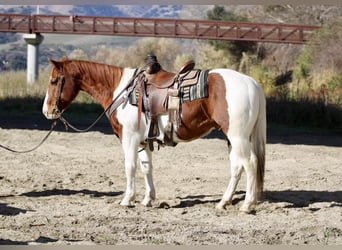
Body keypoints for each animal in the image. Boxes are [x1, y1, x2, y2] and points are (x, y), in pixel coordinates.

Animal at [42, 56, 266, 213]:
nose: (47, 111)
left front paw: (127, 199)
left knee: (250, 164)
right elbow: (146, 167)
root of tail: (253, 83)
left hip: (237, 137)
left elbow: (130, 167)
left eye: (54, 81)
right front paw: (148, 199)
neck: (121, 91)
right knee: (237, 167)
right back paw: (223, 202)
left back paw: (247, 205)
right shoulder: (142, 141)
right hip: (232, 138)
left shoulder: (129, 138)